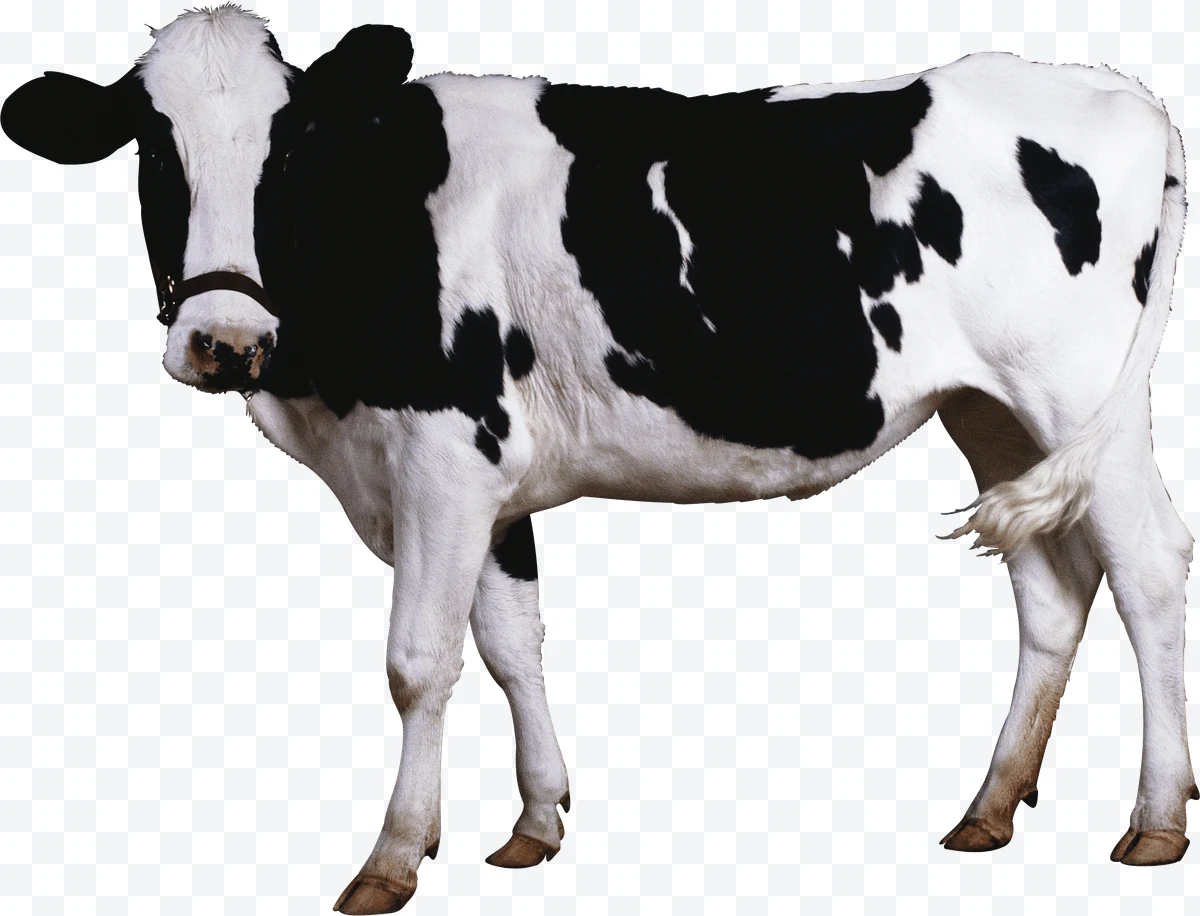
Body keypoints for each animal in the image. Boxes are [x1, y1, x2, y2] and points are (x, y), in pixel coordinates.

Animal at [1, 5, 1191, 913]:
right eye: (153, 151)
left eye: (290, 150)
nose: (225, 341)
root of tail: (1118, 91)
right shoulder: (485, 482)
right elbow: (510, 644)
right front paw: (534, 821)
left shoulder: (444, 458)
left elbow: (418, 662)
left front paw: (392, 858)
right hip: (990, 412)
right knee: (1051, 587)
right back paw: (989, 808)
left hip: (1079, 394)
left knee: (1145, 567)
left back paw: (1154, 819)